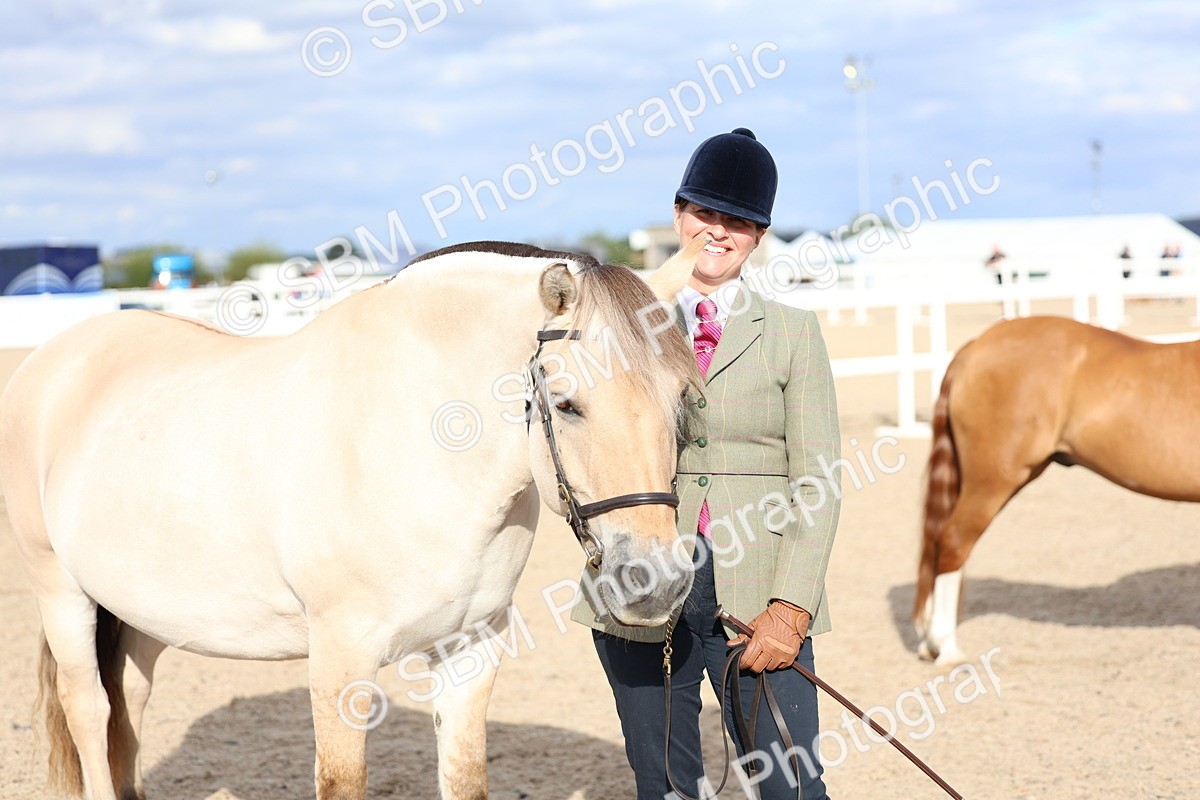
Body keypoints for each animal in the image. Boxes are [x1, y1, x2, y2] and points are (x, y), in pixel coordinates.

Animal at [0, 236, 710, 800]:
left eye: (682, 396)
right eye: (565, 403)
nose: (657, 582)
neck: (415, 438)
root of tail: (58, 355)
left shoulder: (471, 650)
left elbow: (465, 777)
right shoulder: (340, 662)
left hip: (145, 610)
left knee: (130, 701)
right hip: (60, 589)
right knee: (90, 709)